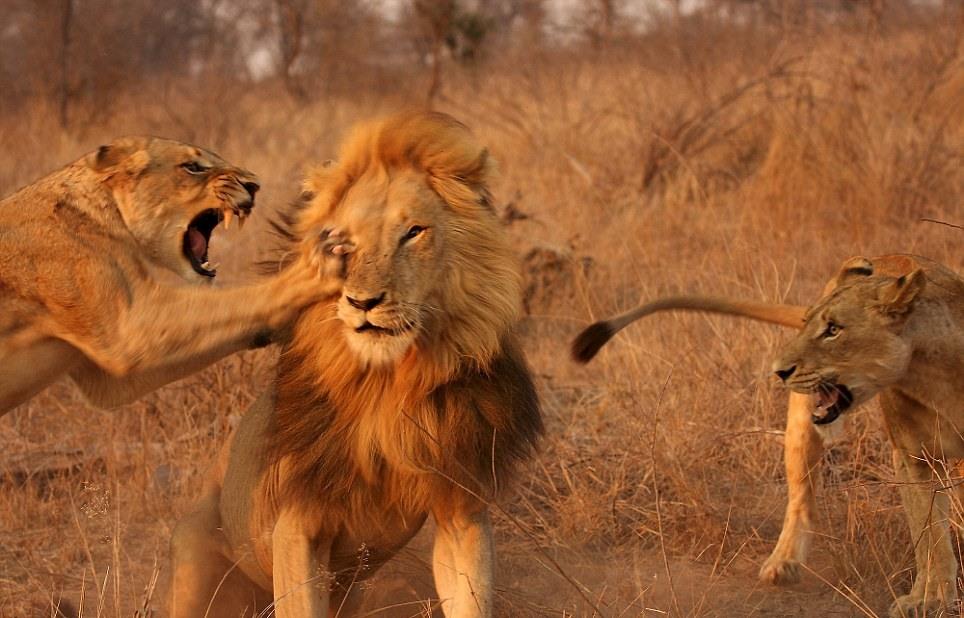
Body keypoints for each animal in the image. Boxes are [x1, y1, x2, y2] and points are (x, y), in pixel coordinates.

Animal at [0, 136, 344, 414]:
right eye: (193, 167)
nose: (254, 185)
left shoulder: (107, 376)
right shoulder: (127, 328)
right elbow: (243, 300)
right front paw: (316, 265)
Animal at [169, 112, 543, 618]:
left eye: (413, 232)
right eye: (339, 243)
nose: (362, 302)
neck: (387, 383)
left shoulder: (460, 510)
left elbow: (471, 599)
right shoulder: (296, 527)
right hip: (195, 562)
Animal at [572, 254, 963, 616]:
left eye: (834, 329)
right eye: (808, 325)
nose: (779, 370)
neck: (932, 373)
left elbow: (932, 531)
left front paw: (932, 598)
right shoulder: (912, 458)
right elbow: (930, 536)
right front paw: (930, 599)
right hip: (803, 427)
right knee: (801, 496)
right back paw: (783, 562)